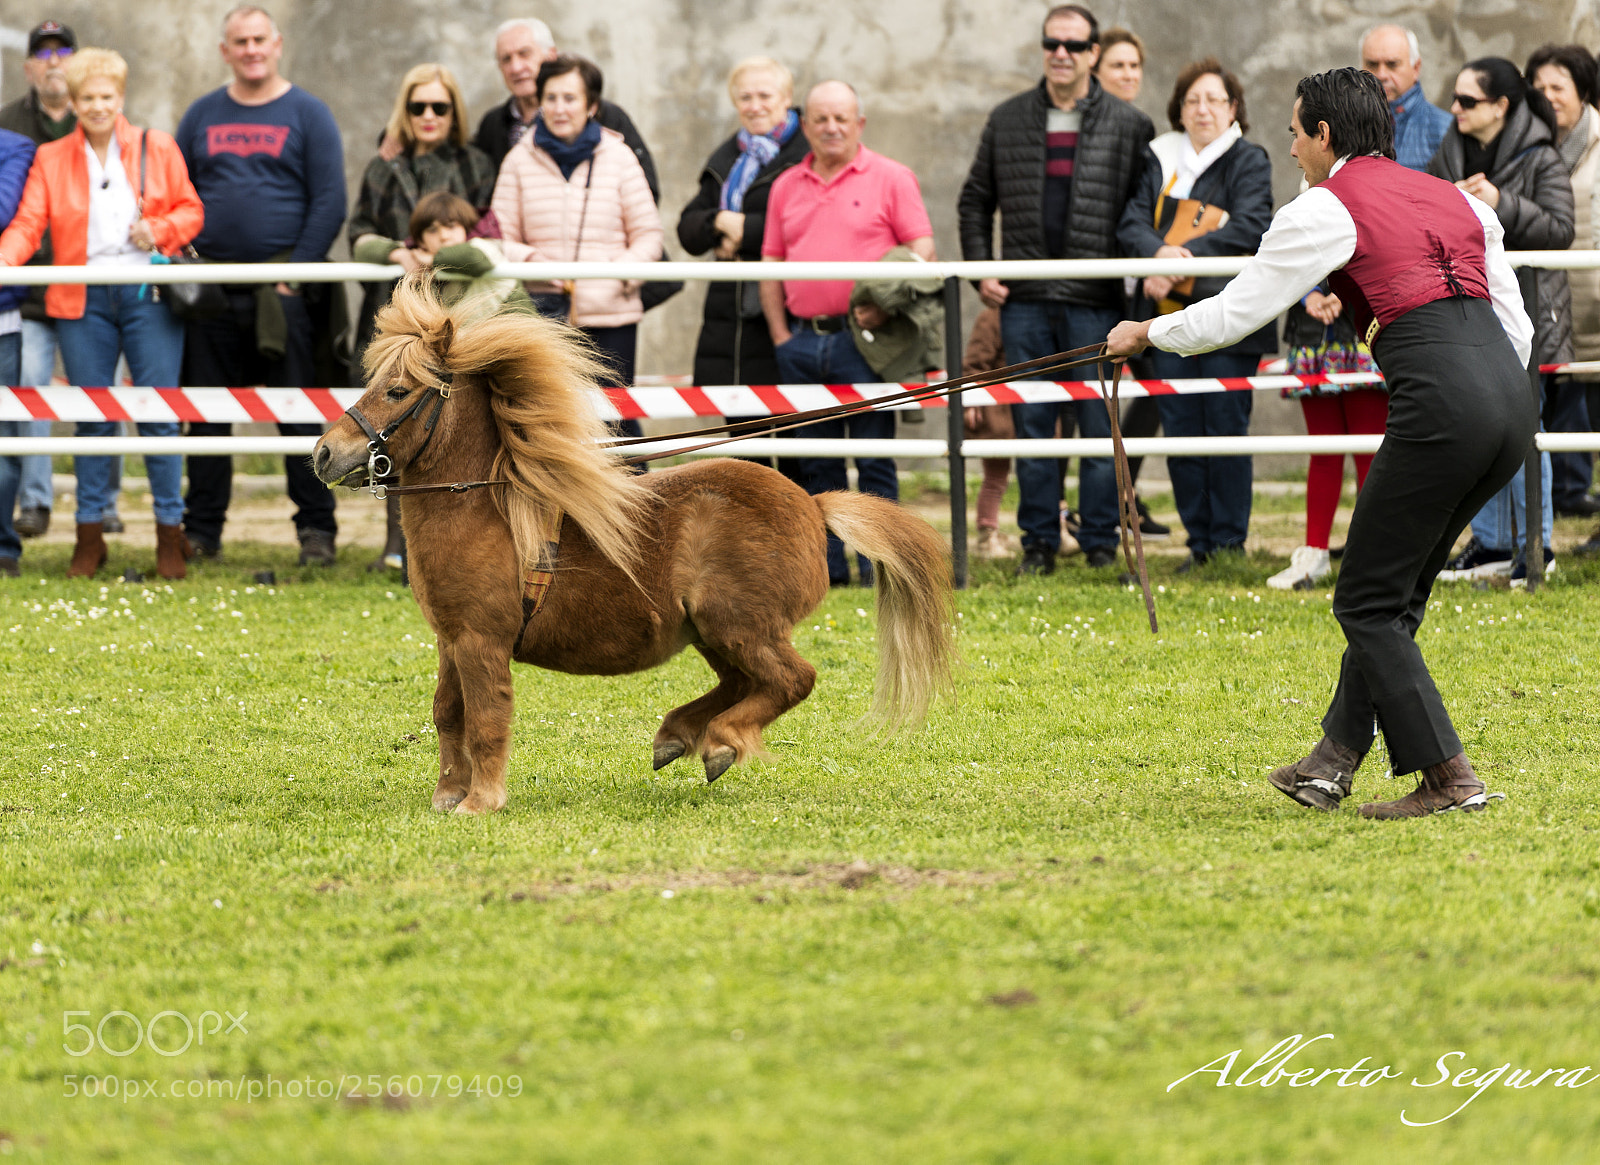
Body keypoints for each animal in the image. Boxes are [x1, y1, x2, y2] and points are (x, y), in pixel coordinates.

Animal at [312, 276, 954, 815]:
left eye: (398, 391)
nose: (323, 454)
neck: (485, 509)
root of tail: (814, 506)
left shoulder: (481, 641)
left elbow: (487, 718)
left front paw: (480, 802)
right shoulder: (452, 639)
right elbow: (448, 713)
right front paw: (448, 795)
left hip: (741, 626)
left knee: (791, 680)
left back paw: (719, 742)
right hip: (715, 633)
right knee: (743, 684)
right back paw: (678, 737)